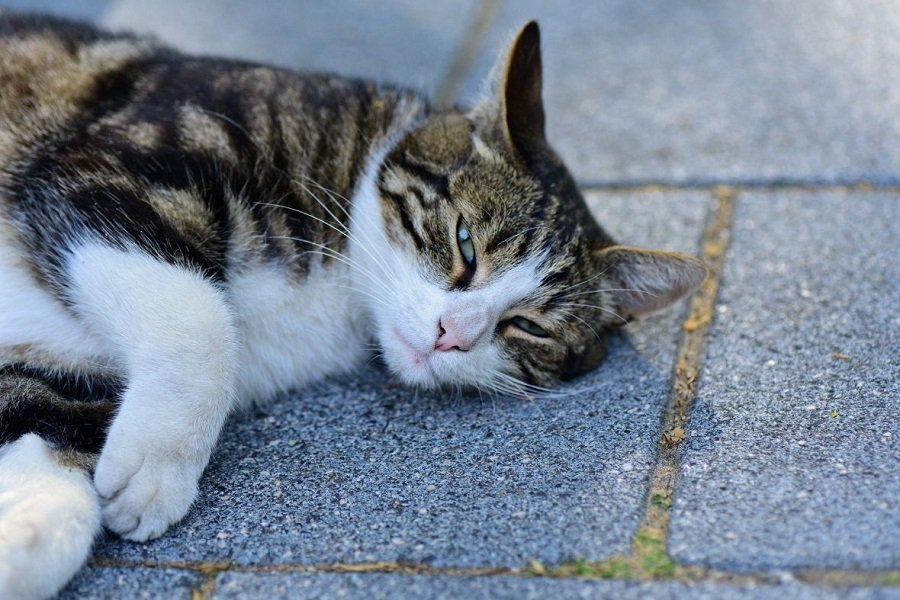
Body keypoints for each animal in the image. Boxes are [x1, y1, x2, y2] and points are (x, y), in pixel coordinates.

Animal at [0, 11, 708, 596]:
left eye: (527, 326)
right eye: (465, 242)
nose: (451, 333)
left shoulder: (58, 366)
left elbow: (52, 426)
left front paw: (28, 537)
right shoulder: (118, 163)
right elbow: (199, 320)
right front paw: (160, 461)